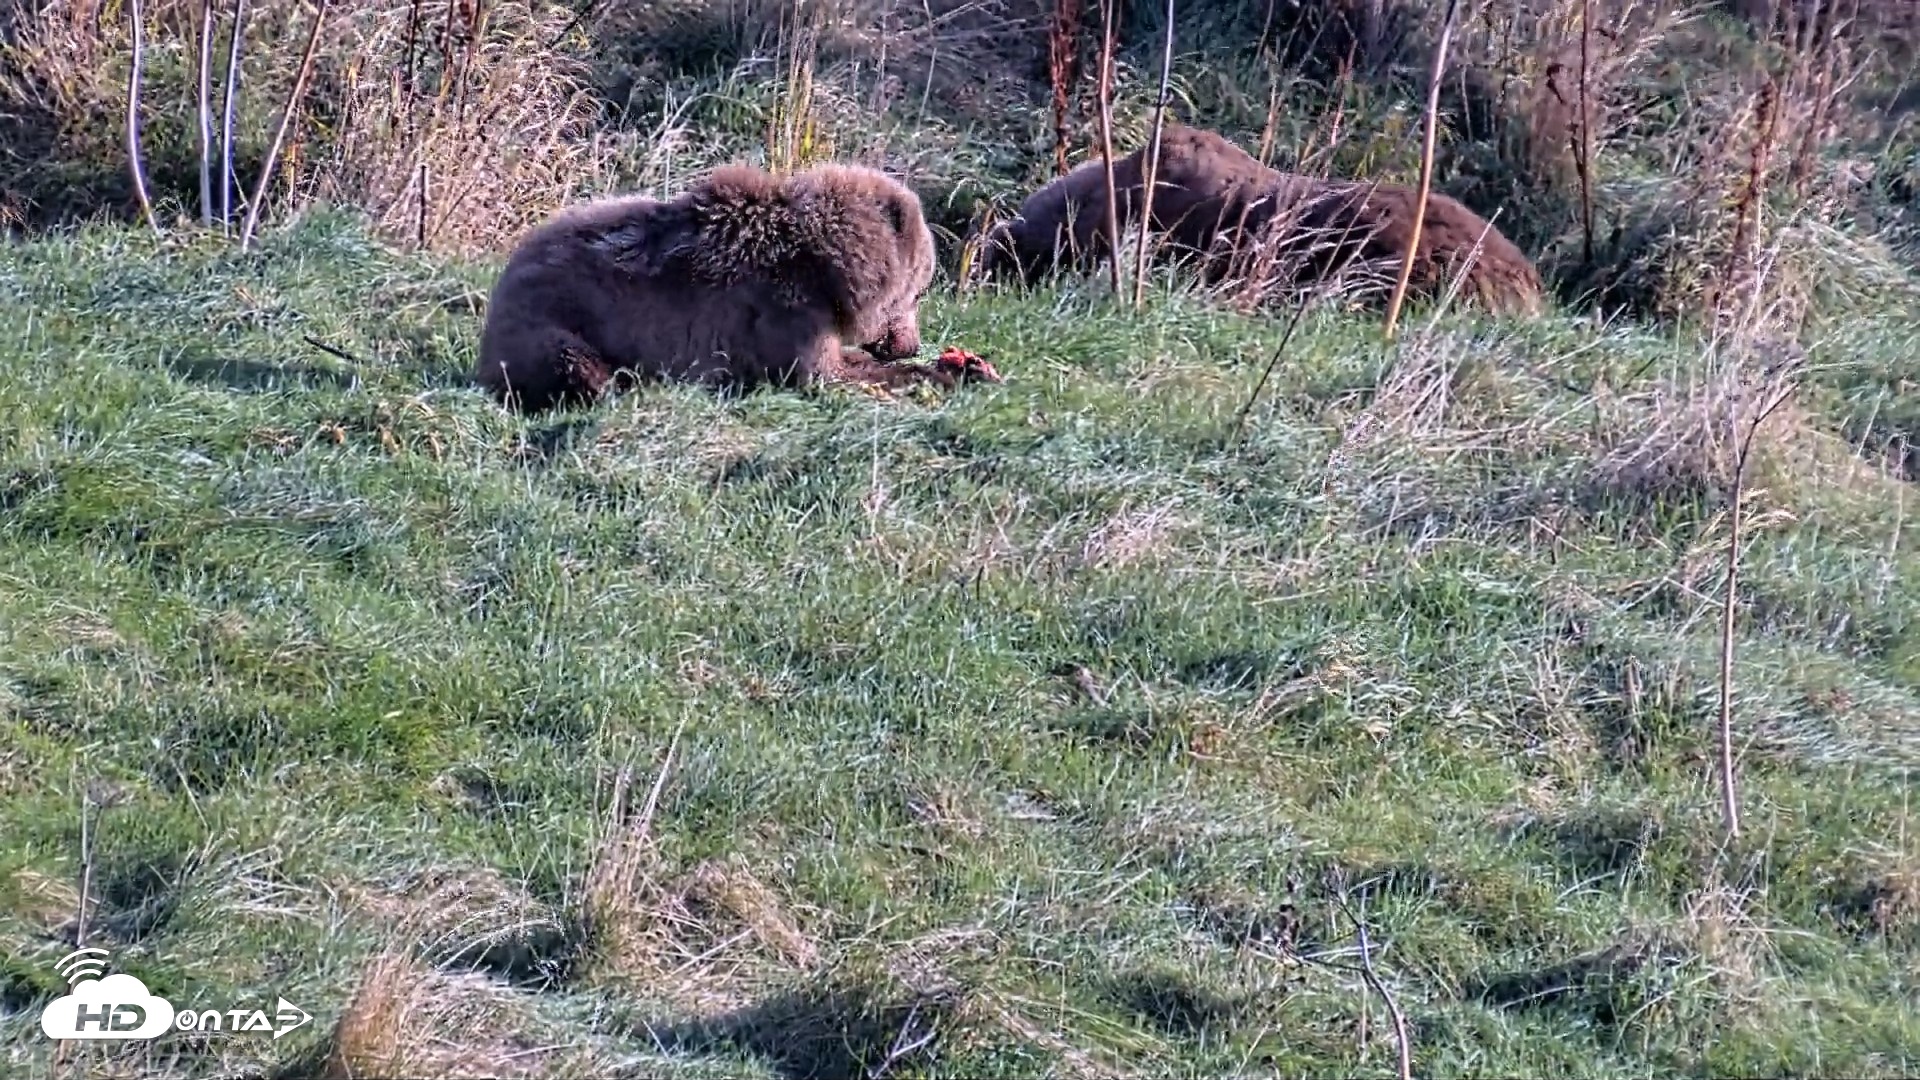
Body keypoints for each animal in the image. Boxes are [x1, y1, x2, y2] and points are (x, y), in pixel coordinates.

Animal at [474, 161, 998, 414]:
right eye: (918, 292)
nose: (907, 342)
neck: (829, 272)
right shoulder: (783, 311)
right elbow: (824, 374)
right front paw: (943, 374)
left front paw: (966, 366)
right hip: (556, 318)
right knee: (574, 364)